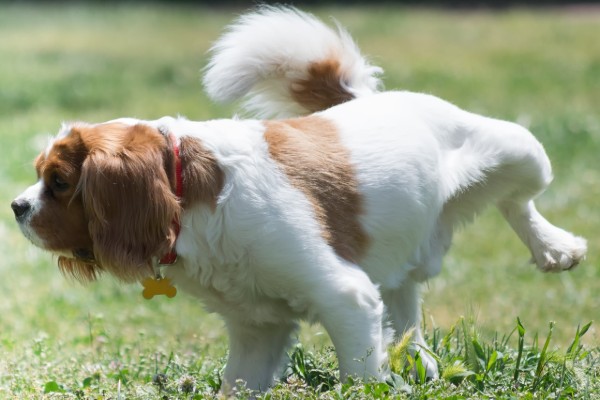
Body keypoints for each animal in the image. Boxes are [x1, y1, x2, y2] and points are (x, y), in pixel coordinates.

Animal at [11, 6, 588, 394]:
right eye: (41, 177)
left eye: (58, 181)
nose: (17, 207)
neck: (190, 198)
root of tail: (369, 99)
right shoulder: (256, 331)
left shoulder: (346, 298)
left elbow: (358, 376)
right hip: (399, 261)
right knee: (406, 310)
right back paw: (418, 363)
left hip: (520, 149)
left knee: (520, 199)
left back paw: (554, 248)